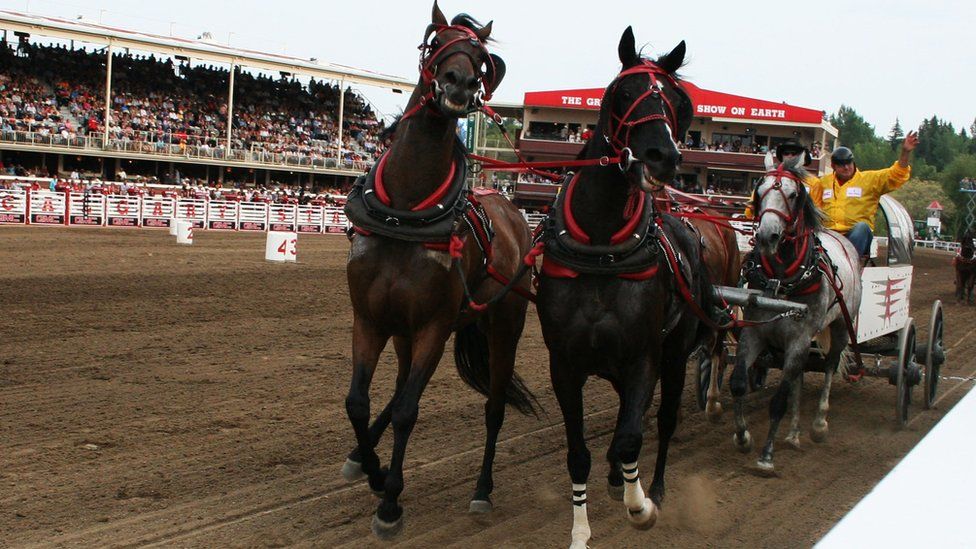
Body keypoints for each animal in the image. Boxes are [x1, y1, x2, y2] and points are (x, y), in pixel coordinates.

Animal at [532, 30, 708, 548]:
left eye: (677, 102)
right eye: (623, 93)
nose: (662, 157)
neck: (602, 248)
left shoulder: (643, 357)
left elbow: (633, 435)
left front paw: (640, 506)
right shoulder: (565, 365)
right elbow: (579, 454)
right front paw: (580, 531)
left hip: (674, 354)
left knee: (662, 420)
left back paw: (655, 486)